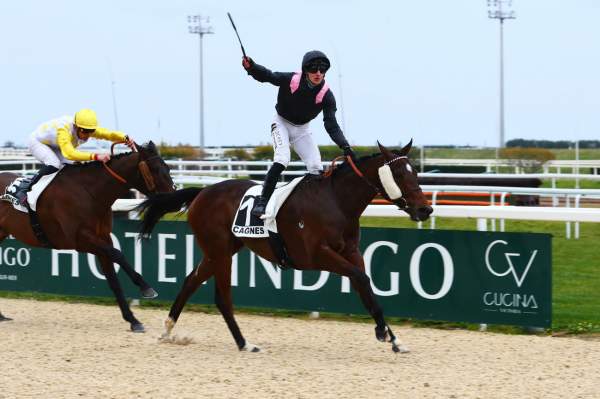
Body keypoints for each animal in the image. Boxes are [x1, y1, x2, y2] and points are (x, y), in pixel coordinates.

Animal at [0, 142, 173, 332]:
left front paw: (133, 320)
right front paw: (146, 287)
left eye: (167, 167)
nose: (173, 197)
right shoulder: (81, 240)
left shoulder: (103, 239)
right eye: (155, 169)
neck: (91, 193)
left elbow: (113, 280)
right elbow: (118, 254)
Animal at [139, 141, 434, 354]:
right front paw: (383, 333)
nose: (425, 209)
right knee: (222, 298)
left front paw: (393, 339)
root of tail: (201, 192)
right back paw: (244, 343)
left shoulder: (351, 252)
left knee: (191, 281)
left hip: (221, 250)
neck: (336, 201)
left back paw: (167, 330)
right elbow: (360, 278)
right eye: (399, 173)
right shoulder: (317, 255)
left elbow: (366, 287)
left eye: (415, 172)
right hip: (220, 251)